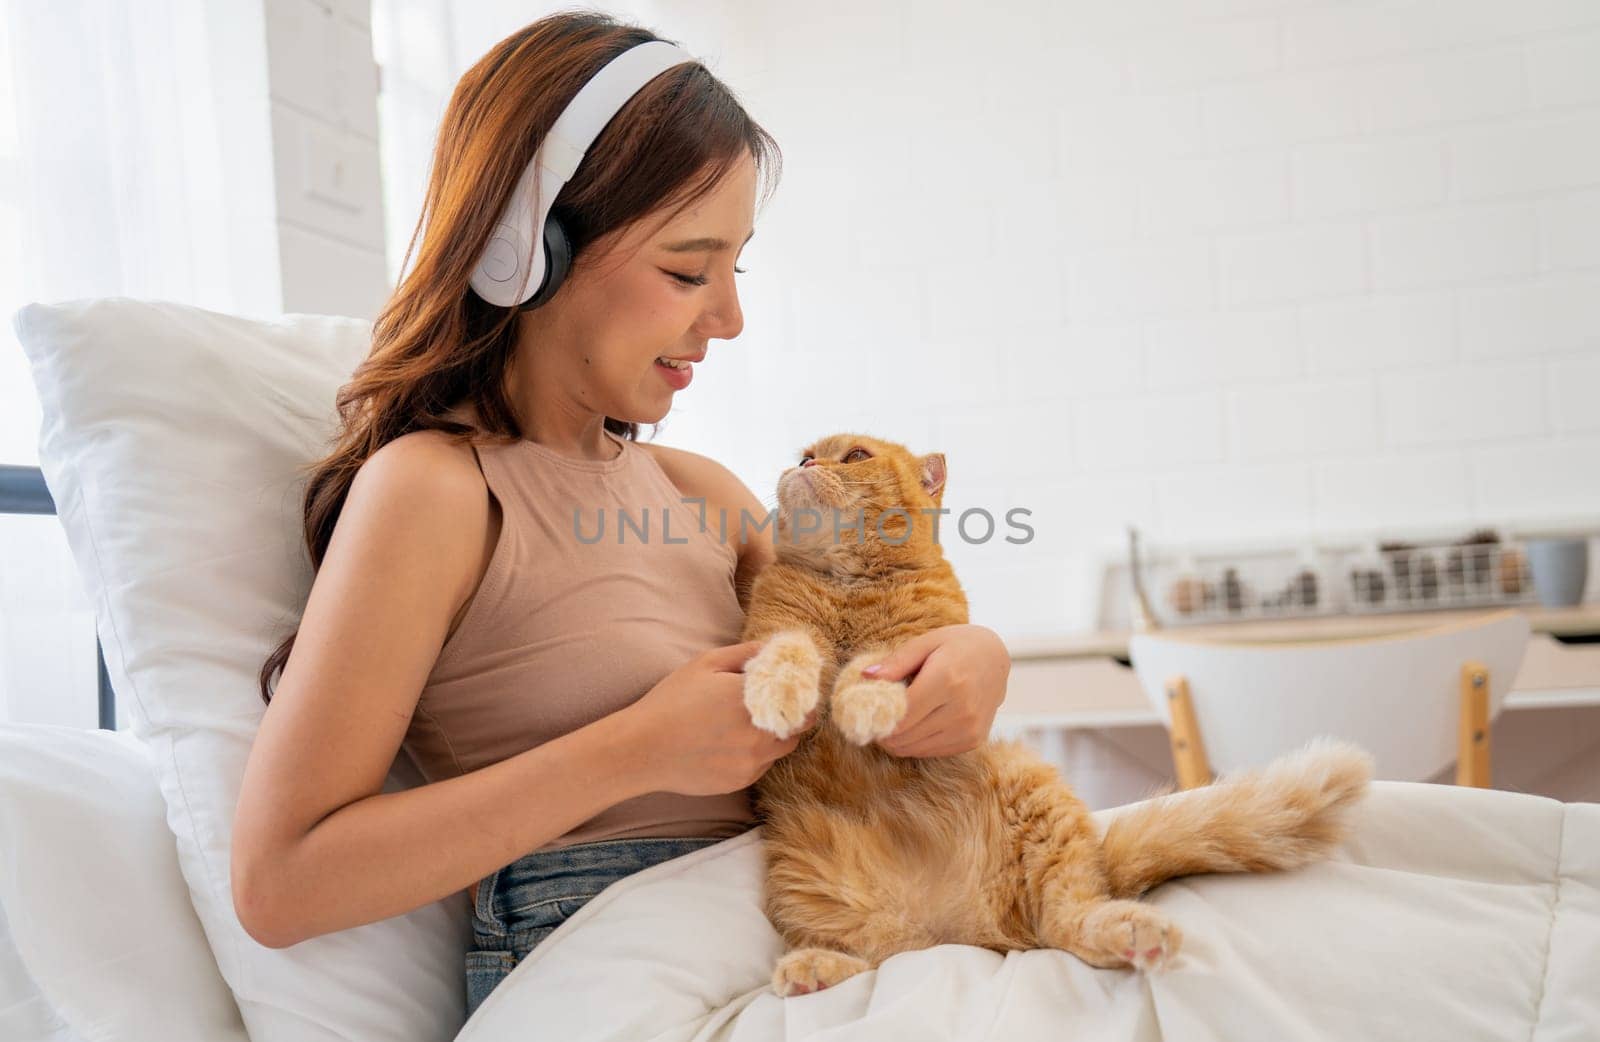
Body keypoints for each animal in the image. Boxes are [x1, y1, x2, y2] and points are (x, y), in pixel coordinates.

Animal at [736, 432, 1376, 992]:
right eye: (806, 453)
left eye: (854, 456)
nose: (806, 465)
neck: (849, 581)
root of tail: (967, 932)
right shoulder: (776, 631)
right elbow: (789, 651)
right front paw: (779, 697)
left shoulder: (917, 649)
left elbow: (872, 667)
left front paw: (862, 704)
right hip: (815, 889)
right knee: (881, 955)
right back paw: (814, 968)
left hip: (1040, 803)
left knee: (1067, 917)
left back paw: (1131, 931)